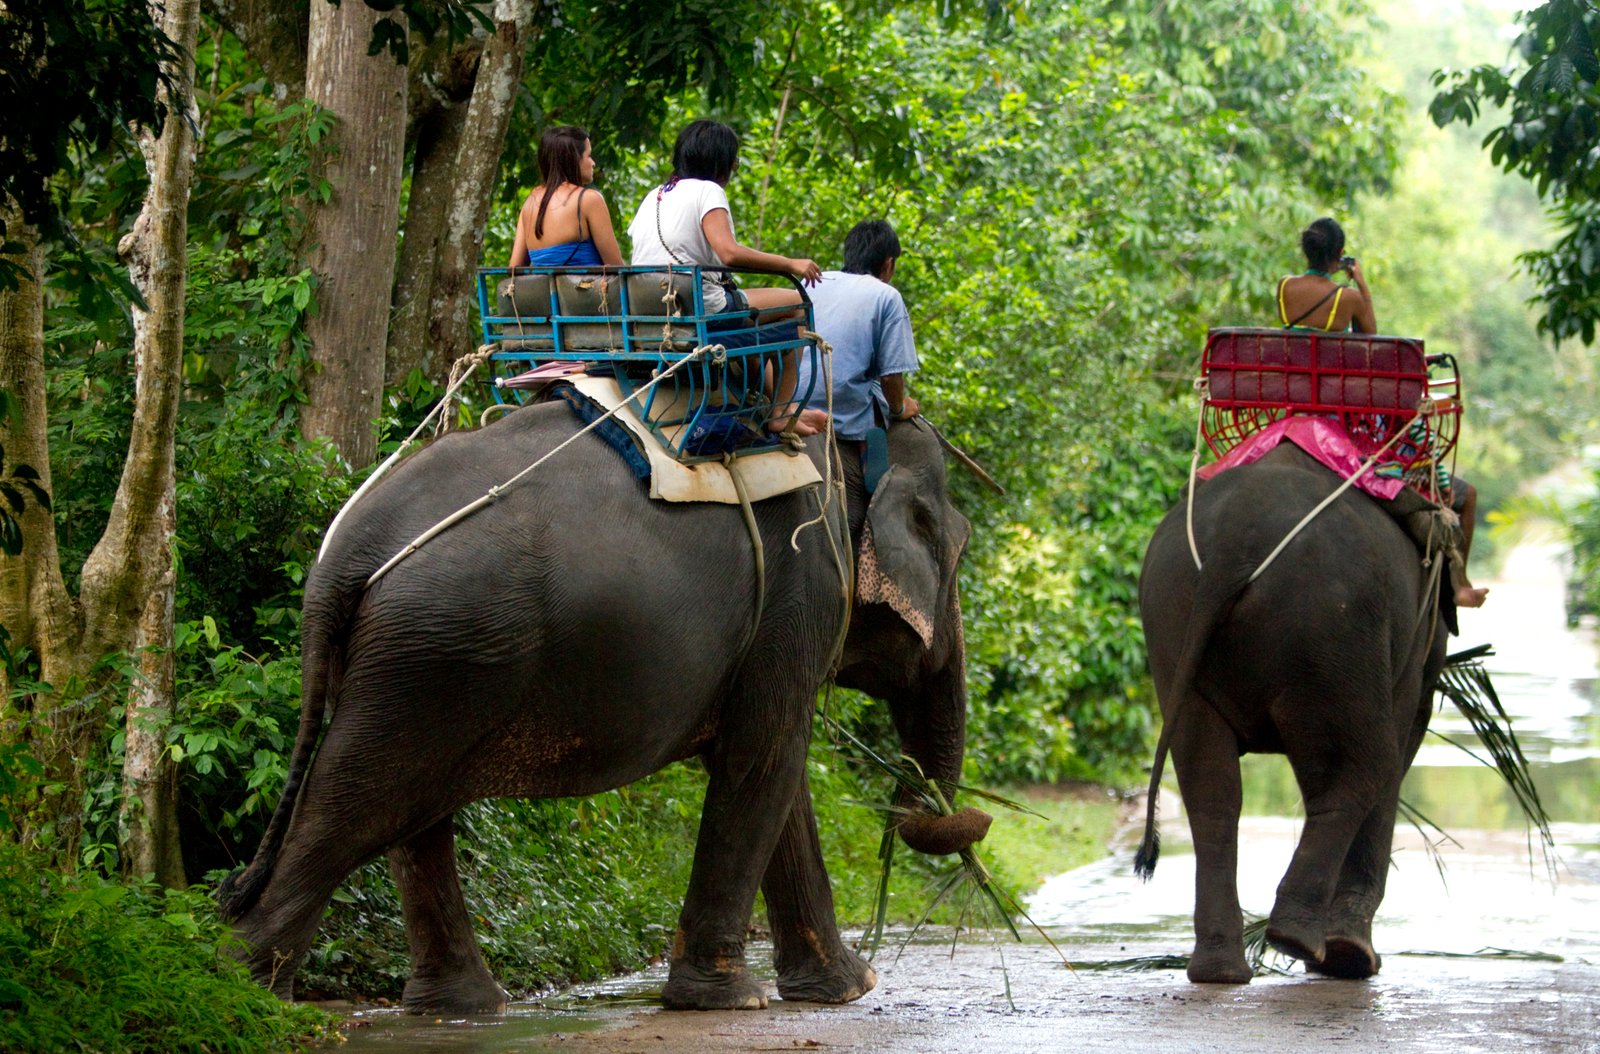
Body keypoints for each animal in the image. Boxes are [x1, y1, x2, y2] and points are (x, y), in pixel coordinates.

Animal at [216, 398, 988, 1014]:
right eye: (954, 549)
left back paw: (462, 1007)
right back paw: (244, 1000)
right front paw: (733, 1000)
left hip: (420, 660)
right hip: (437, 652)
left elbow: (772, 773)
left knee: (409, 817)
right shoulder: (804, 583)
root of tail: (346, 550)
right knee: (356, 806)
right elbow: (763, 760)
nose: (974, 819)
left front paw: (847, 989)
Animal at [1134, 443, 1452, 983]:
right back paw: (1319, 948)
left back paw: (1222, 969)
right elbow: (1401, 736)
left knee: (1211, 788)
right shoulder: (1413, 644)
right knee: (1368, 765)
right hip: (1330, 628)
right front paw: (1353, 956)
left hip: (1171, 619)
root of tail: (1231, 546)